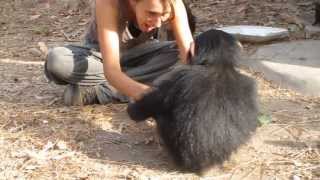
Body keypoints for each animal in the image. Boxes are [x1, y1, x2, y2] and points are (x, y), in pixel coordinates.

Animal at [126, 29, 258, 173]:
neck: (220, 65)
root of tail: (205, 166)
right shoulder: (251, 86)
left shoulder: (178, 79)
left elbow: (138, 111)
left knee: (160, 117)